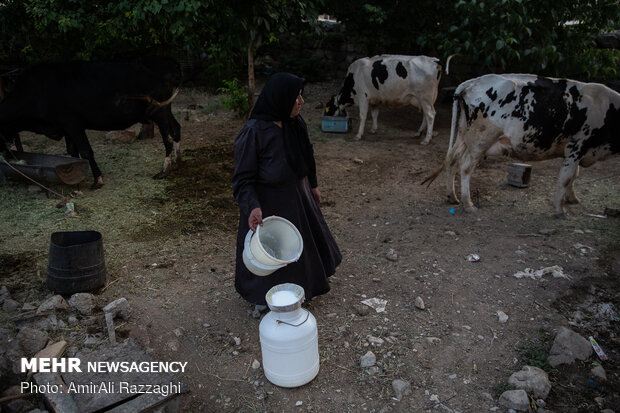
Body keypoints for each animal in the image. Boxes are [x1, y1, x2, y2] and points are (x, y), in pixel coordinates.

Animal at [324, 54, 456, 143]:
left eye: (327, 108)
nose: (325, 117)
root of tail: (434, 59)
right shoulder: (375, 99)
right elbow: (374, 114)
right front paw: (373, 129)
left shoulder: (363, 97)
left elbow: (362, 116)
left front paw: (358, 135)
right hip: (426, 99)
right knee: (426, 115)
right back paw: (418, 133)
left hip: (425, 97)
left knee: (430, 115)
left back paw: (426, 139)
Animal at [424, 73, 616, 216]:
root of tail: (472, 82)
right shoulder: (577, 146)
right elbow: (566, 177)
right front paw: (560, 210)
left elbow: (573, 175)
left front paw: (572, 198)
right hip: (481, 140)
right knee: (465, 166)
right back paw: (468, 204)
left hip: (465, 135)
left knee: (452, 161)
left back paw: (452, 197)